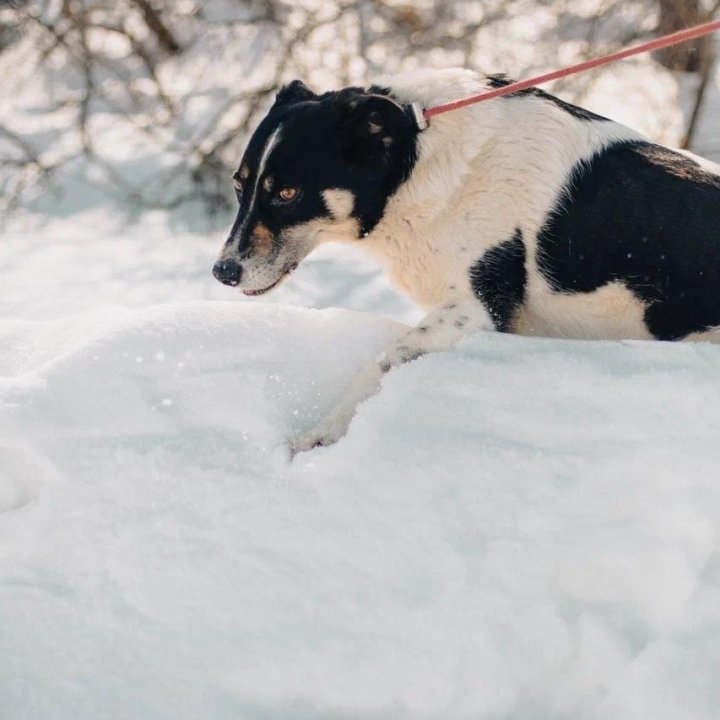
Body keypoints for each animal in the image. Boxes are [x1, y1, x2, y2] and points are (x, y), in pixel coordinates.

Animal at [211, 66, 720, 450]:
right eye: (239, 186)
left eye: (287, 193)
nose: (222, 273)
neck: (415, 163)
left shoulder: (476, 311)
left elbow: (382, 361)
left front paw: (319, 435)